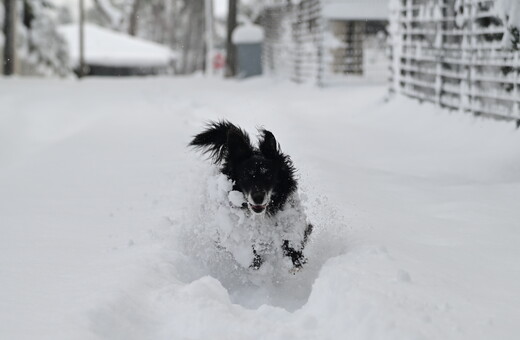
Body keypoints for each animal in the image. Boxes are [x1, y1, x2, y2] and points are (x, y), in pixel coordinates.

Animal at [191, 119, 312, 270]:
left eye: (268, 175)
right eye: (245, 176)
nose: (258, 198)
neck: (260, 216)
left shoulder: (291, 216)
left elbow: (292, 235)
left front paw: (294, 258)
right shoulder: (231, 231)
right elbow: (247, 252)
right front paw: (256, 263)